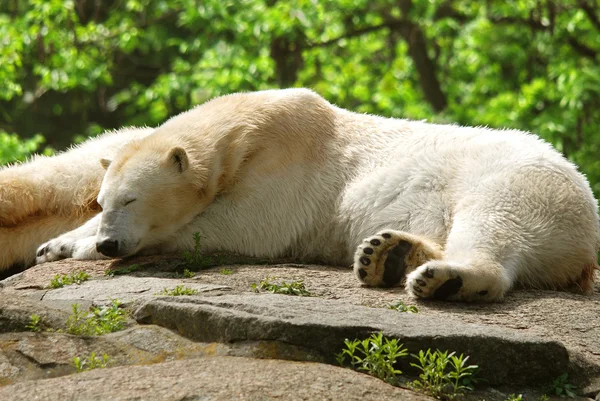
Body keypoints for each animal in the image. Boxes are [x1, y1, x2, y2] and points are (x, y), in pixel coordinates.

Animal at [1, 88, 600, 300]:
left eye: (130, 201)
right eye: (106, 202)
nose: (108, 244)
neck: (246, 130)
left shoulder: (287, 170)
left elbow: (240, 226)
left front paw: (74, 246)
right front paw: (59, 242)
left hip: (520, 180)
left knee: (495, 224)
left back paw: (442, 279)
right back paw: (387, 254)